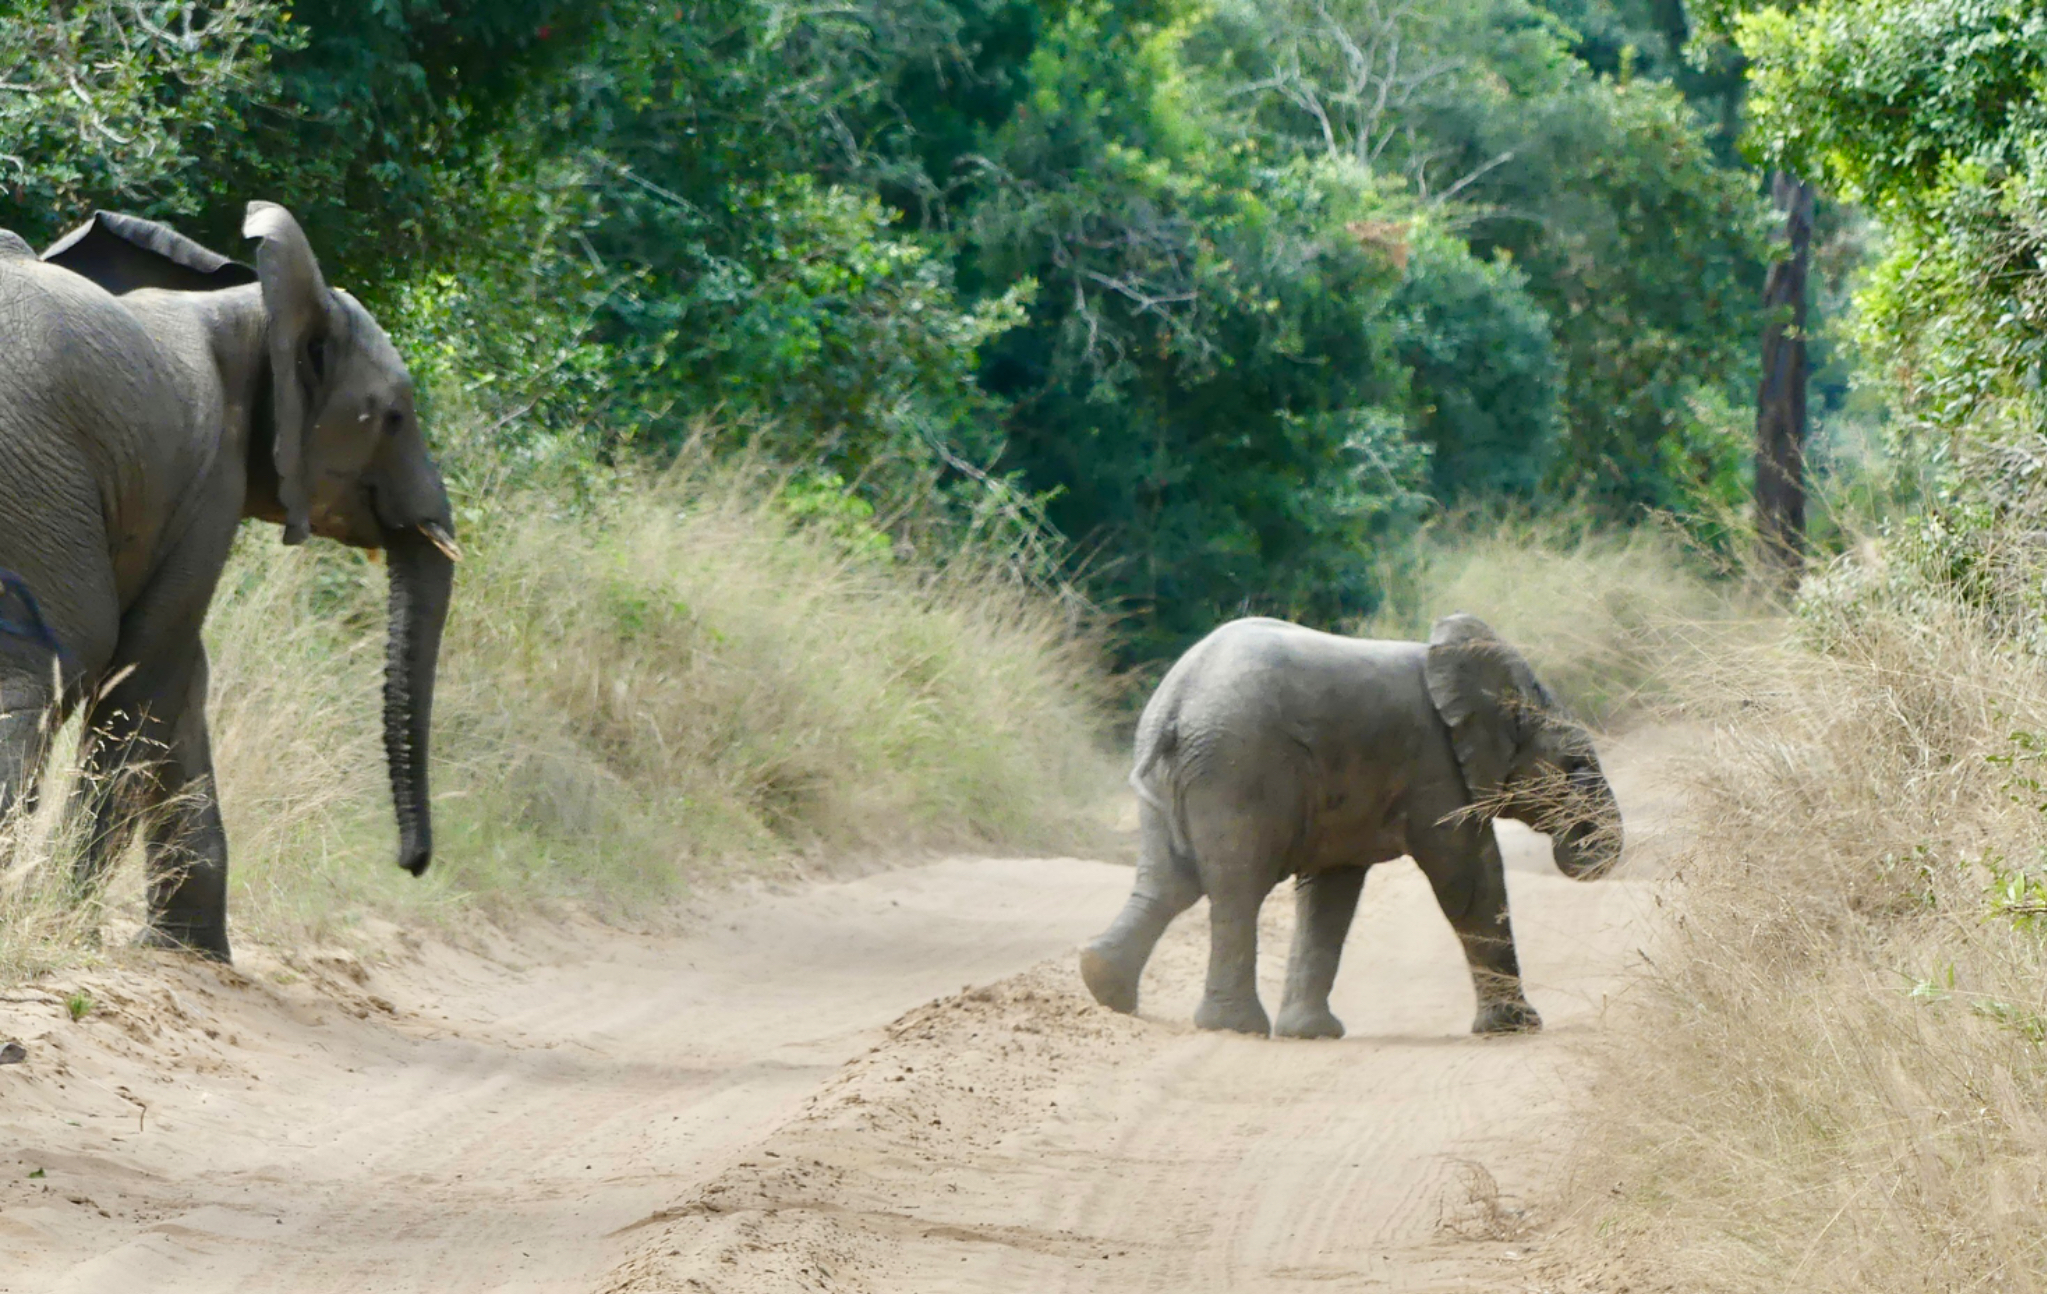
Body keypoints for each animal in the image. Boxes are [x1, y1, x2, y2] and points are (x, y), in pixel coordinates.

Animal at [0, 204, 459, 962]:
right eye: (394, 417)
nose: (412, 864)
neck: (253, 307)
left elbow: (183, 683)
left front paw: (188, 954)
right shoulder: (211, 481)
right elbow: (145, 681)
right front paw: (69, 926)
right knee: (45, 671)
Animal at [1080, 614, 1622, 1038]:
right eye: (1574, 764)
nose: (1582, 850)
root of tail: (1177, 701)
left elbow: (1331, 893)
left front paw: (1310, 1034)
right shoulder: (1436, 768)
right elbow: (1468, 878)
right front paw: (1518, 1028)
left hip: (1184, 775)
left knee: (1169, 882)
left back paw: (1103, 985)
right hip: (1239, 768)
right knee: (1236, 886)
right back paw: (1232, 1027)